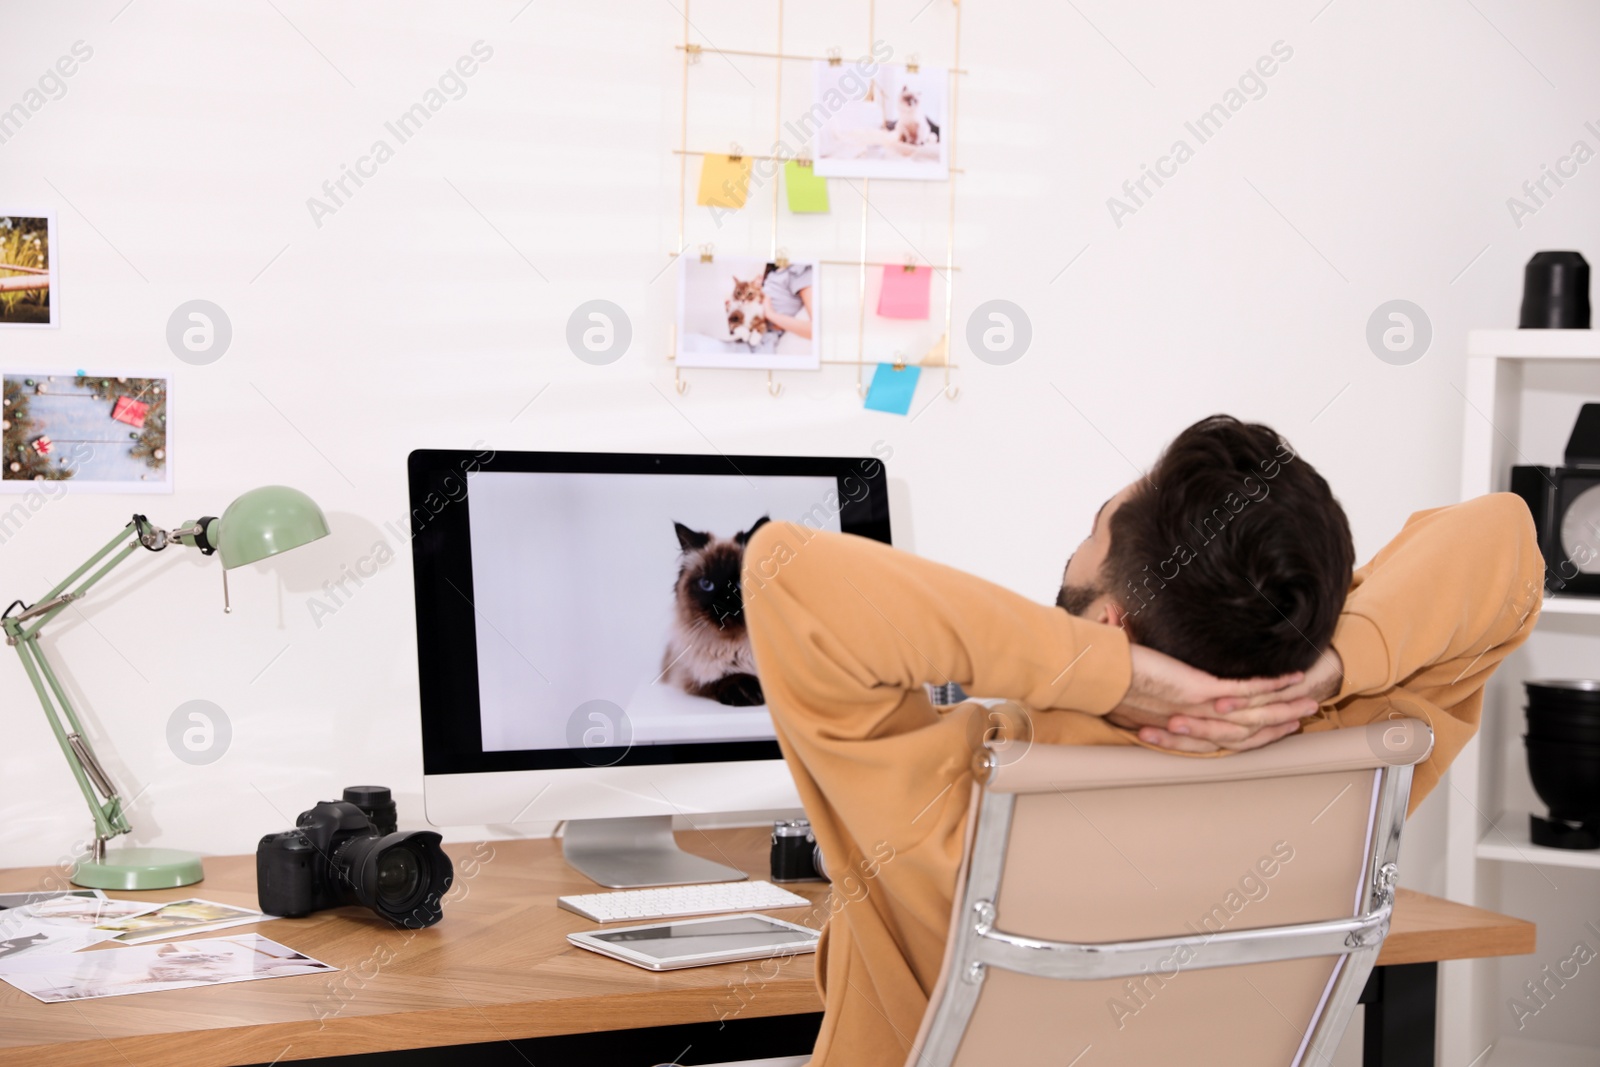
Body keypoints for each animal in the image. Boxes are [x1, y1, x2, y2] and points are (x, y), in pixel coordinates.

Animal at [656, 515, 768, 703]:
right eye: (707, 584)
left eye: (740, 582)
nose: (724, 603)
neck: (738, 648)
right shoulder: (687, 675)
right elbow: (719, 678)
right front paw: (751, 693)